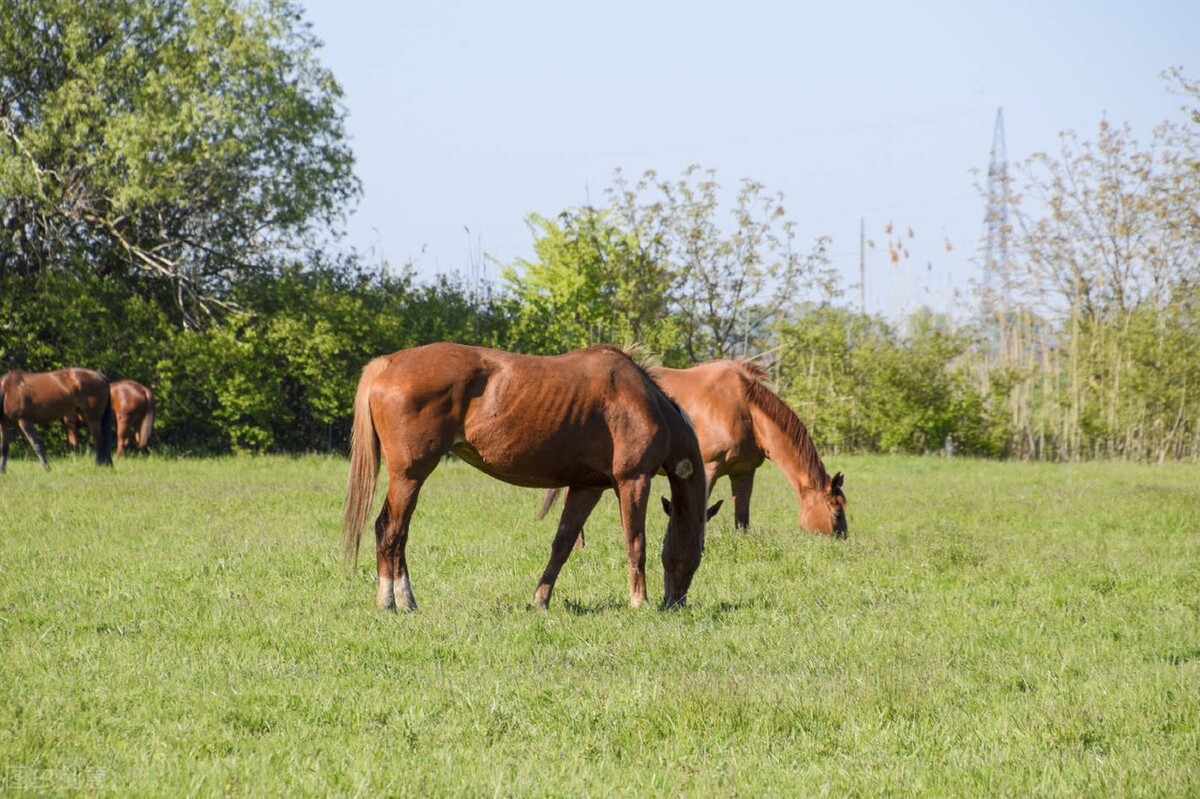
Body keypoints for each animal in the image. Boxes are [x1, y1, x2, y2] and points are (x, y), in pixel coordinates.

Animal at [340, 340, 720, 609]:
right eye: (698, 549)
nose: (675, 603)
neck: (644, 401)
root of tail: (387, 364)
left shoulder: (586, 487)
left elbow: (562, 545)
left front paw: (541, 600)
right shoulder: (633, 481)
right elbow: (636, 542)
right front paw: (639, 601)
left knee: (394, 532)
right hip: (409, 476)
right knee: (391, 530)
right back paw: (394, 601)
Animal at [540, 359, 849, 535]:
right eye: (836, 511)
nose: (841, 539)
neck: (745, 408)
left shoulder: (744, 472)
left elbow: (742, 517)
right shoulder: (708, 467)